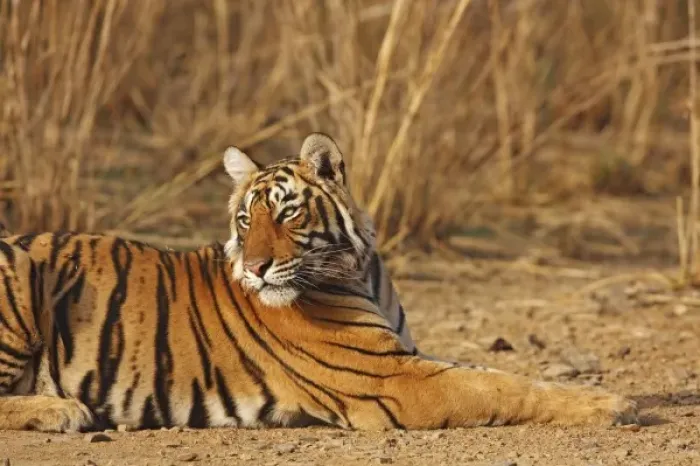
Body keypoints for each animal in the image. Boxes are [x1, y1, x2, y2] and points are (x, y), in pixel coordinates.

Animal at [0, 132, 638, 432]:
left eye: (285, 214)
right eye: (244, 220)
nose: (254, 268)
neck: (360, 269)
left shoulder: (404, 357)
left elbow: (496, 373)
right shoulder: (391, 378)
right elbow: (500, 387)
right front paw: (613, 403)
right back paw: (62, 410)